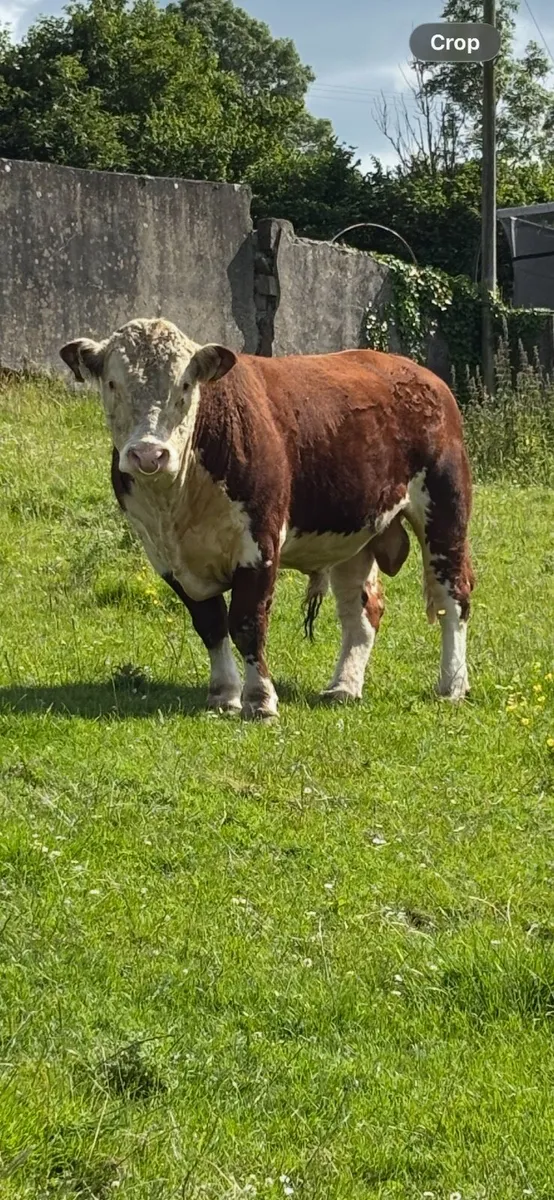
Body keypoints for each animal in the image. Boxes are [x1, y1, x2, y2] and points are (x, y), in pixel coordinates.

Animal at [60, 318, 474, 720]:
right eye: (113, 382)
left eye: (185, 385)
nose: (148, 454)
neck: (176, 502)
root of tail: (421, 374)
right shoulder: (166, 557)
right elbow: (210, 624)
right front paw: (223, 695)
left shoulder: (260, 544)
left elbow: (247, 622)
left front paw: (259, 700)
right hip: (354, 533)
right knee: (361, 611)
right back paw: (344, 686)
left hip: (445, 510)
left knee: (452, 596)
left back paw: (452, 685)